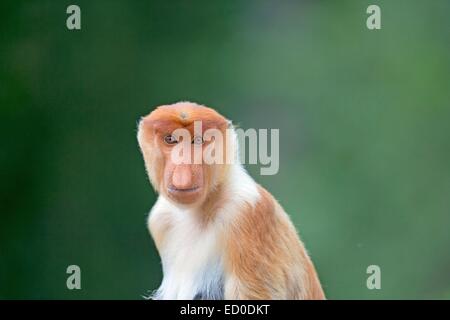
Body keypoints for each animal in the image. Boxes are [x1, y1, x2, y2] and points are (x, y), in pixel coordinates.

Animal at [136, 101, 324, 298]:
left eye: (198, 141)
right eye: (170, 140)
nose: (182, 170)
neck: (204, 208)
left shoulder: (245, 213)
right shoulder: (161, 218)